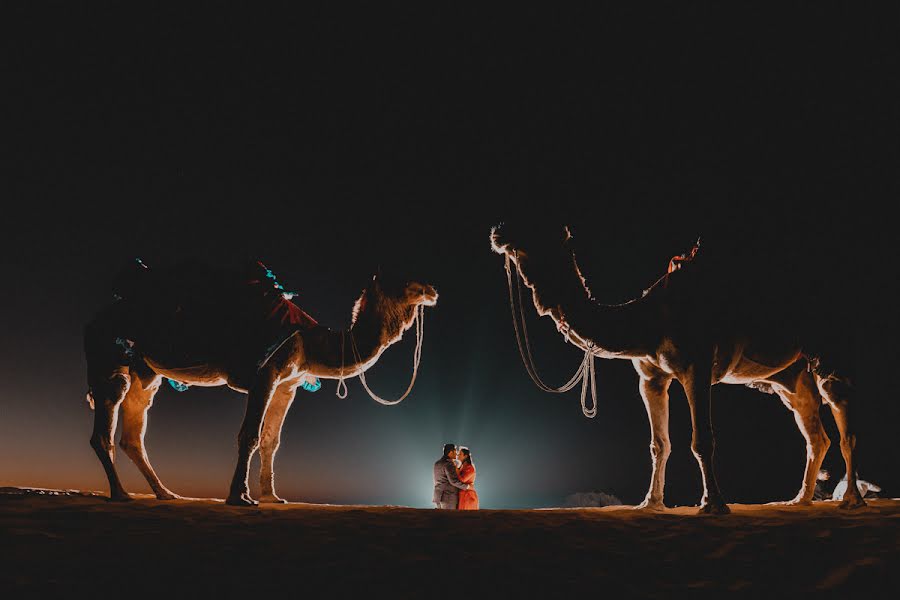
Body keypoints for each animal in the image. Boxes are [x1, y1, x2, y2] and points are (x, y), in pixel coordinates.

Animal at [83, 264, 436, 506]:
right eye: (402, 280)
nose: (432, 289)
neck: (311, 341)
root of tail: (95, 318)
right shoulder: (264, 374)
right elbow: (249, 435)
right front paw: (240, 497)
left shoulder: (288, 384)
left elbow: (271, 440)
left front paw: (271, 496)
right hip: (108, 356)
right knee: (106, 420)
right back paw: (120, 494)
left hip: (146, 372)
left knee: (133, 431)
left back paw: (165, 493)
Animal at [492, 223, 864, 512]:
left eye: (537, 224)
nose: (498, 230)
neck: (649, 319)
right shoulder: (650, 378)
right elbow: (659, 444)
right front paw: (651, 502)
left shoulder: (697, 367)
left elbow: (702, 440)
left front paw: (713, 504)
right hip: (793, 377)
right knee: (816, 435)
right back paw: (800, 500)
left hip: (830, 355)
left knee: (844, 423)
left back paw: (853, 500)